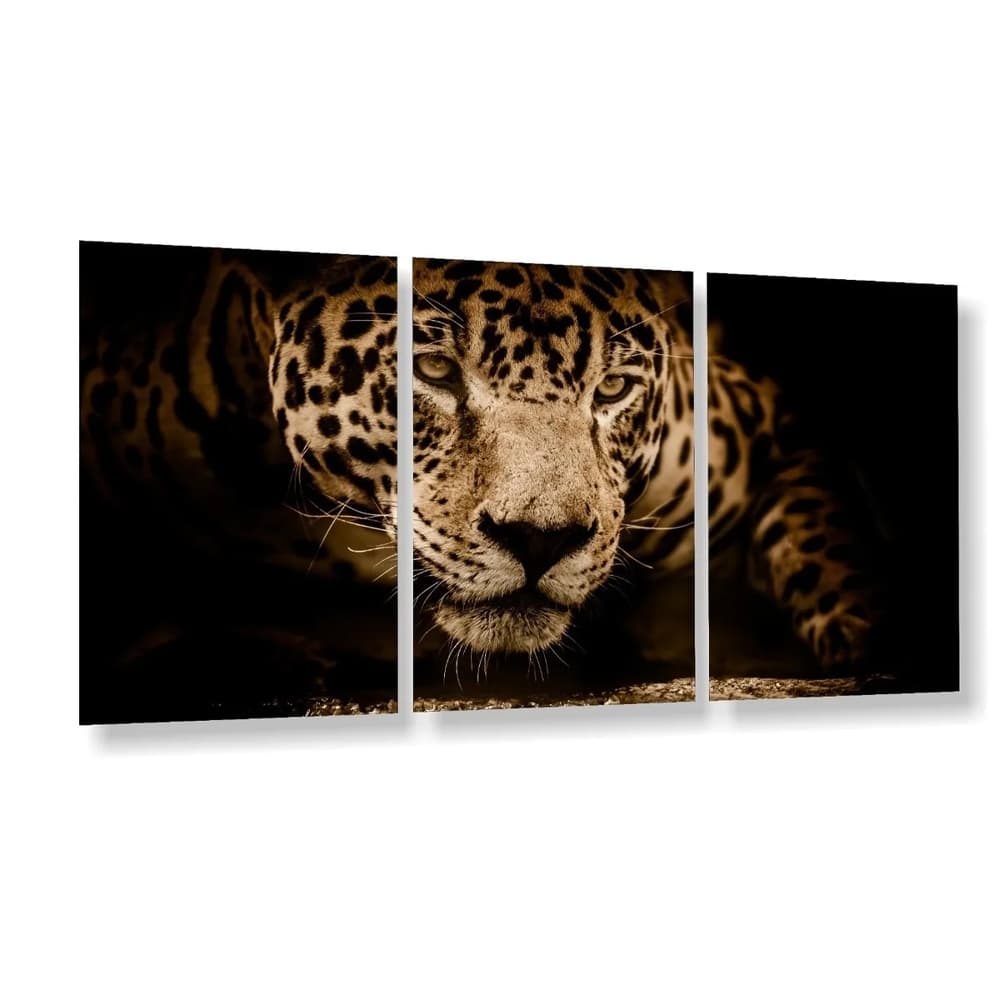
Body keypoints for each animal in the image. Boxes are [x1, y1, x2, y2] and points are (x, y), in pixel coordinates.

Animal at [412, 258, 881, 677]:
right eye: (434, 369)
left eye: (612, 387)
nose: (539, 540)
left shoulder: (773, 422)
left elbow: (820, 535)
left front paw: (863, 632)